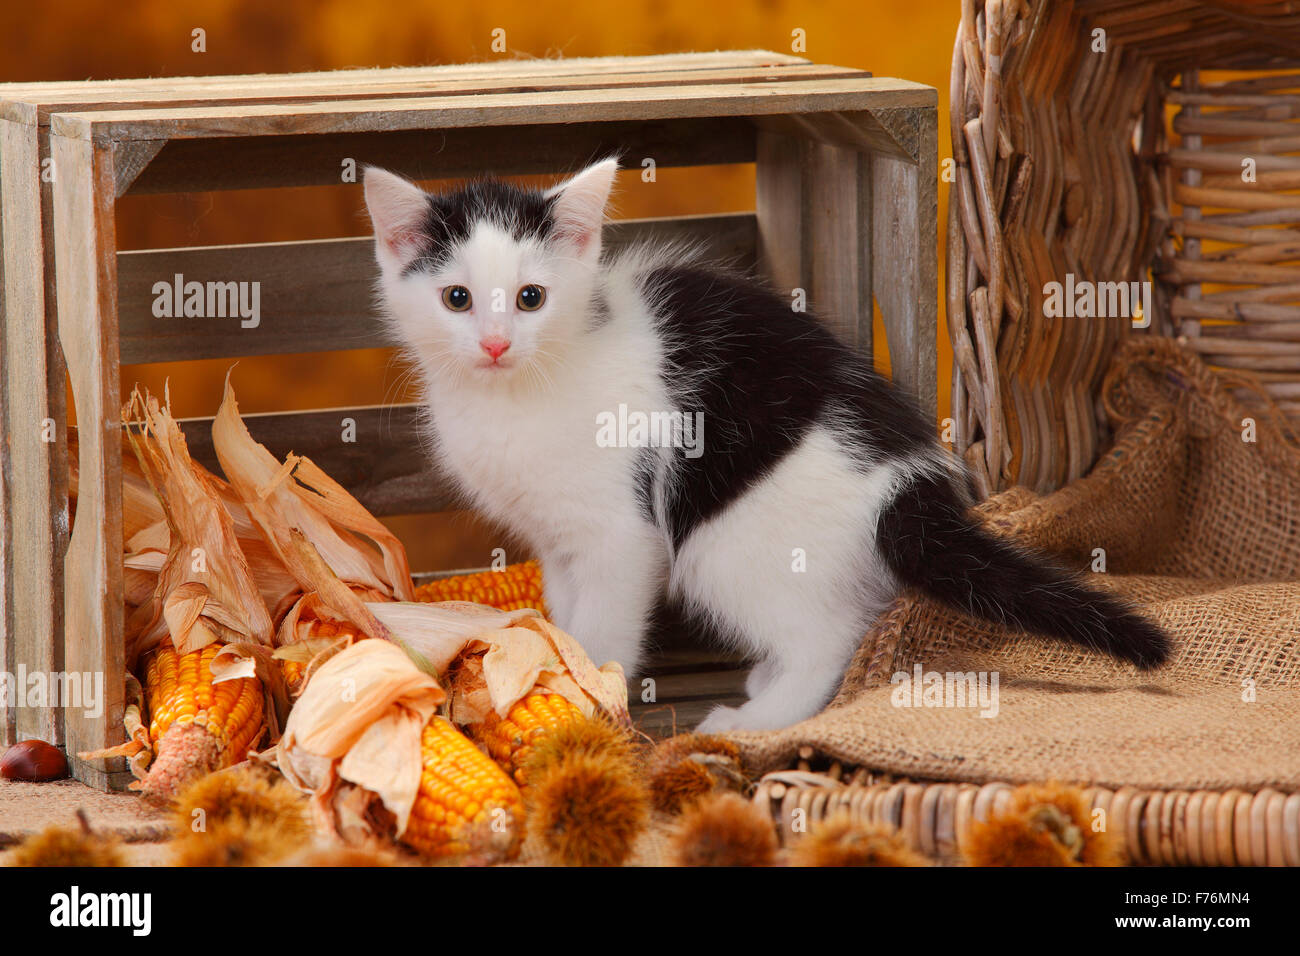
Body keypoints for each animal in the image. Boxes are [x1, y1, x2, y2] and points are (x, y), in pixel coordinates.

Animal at [361, 158, 1175, 733]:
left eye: (531, 298)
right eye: (457, 299)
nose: (496, 344)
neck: (520, 393)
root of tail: (905, 481)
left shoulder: (623, 535)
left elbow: (607, 625)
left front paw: (593, 696)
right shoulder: (559, 539)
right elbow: (565, 613)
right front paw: (562, 668)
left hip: (731, 542)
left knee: (830, 638)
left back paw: (758, 718)